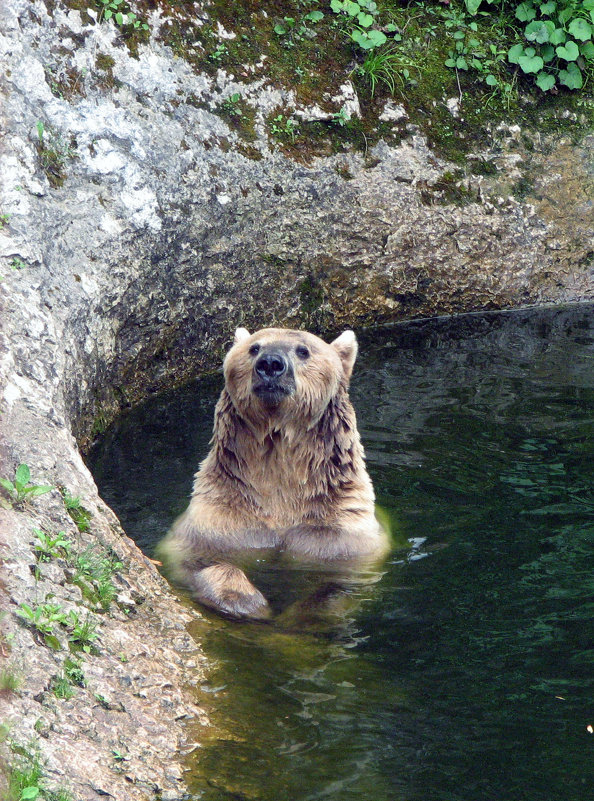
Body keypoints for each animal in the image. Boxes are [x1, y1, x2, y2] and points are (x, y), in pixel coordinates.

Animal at [157, 324, 388, 620]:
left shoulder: (339, 536)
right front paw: (246, 601)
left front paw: (300, 613)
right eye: (254, 348)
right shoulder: (224, 521)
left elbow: (338, 584)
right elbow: (199, 560)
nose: (270, 364)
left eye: (304, 350)